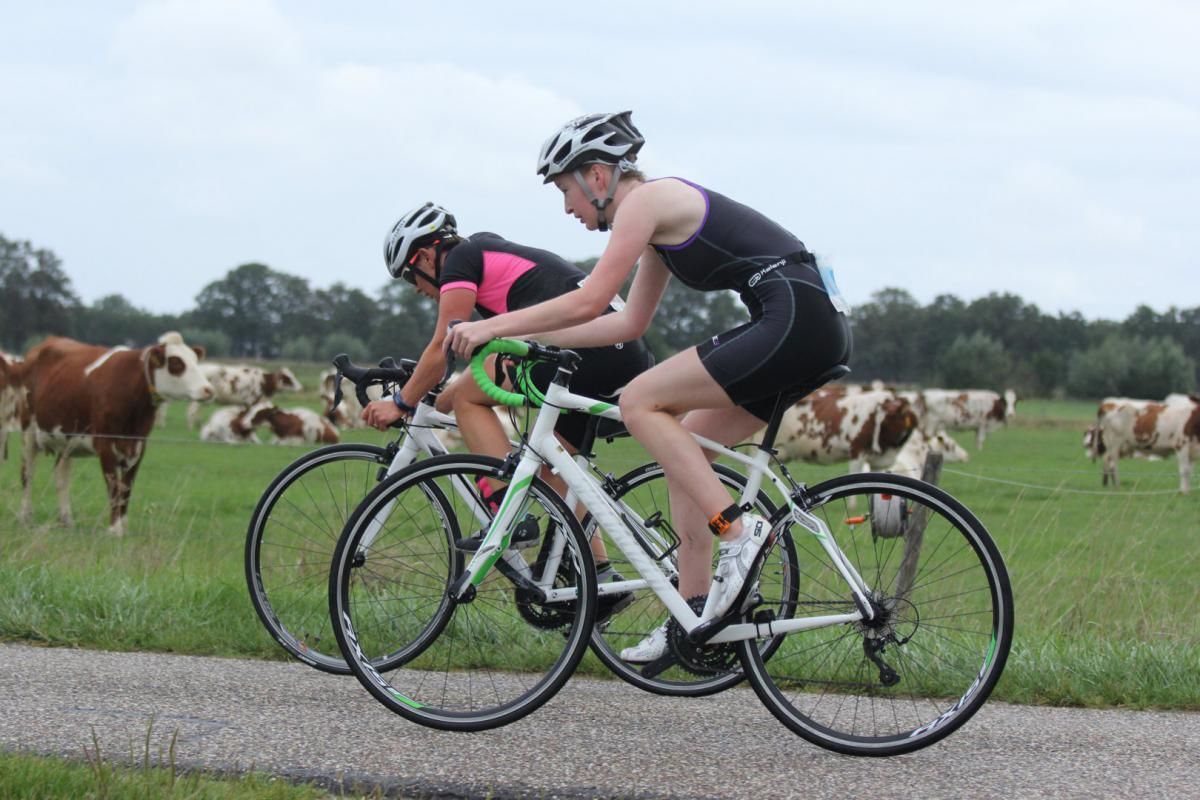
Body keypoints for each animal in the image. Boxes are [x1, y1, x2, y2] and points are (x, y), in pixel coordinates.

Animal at [17, 336, 215, 534]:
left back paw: (66, 520)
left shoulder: (139, 446)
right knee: (28, 474)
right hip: (28, 433)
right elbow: (114, 487)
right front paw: (114, 528)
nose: (208, 389)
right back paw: (25, 517)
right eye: (176, 362)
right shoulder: (105, 445)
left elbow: (126, 488)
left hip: (66, 440)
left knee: (61, 477)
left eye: (195, 360)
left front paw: (122, 526)